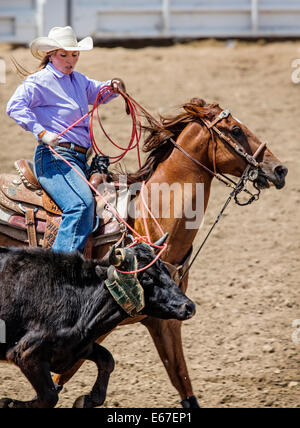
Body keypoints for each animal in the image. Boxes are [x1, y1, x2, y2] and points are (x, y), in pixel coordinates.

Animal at [0, 98, 288, 408]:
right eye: (235, 130)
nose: (280, 169)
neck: (146, 220)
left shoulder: (166, 320)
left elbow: (182, 382)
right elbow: (60, 377)